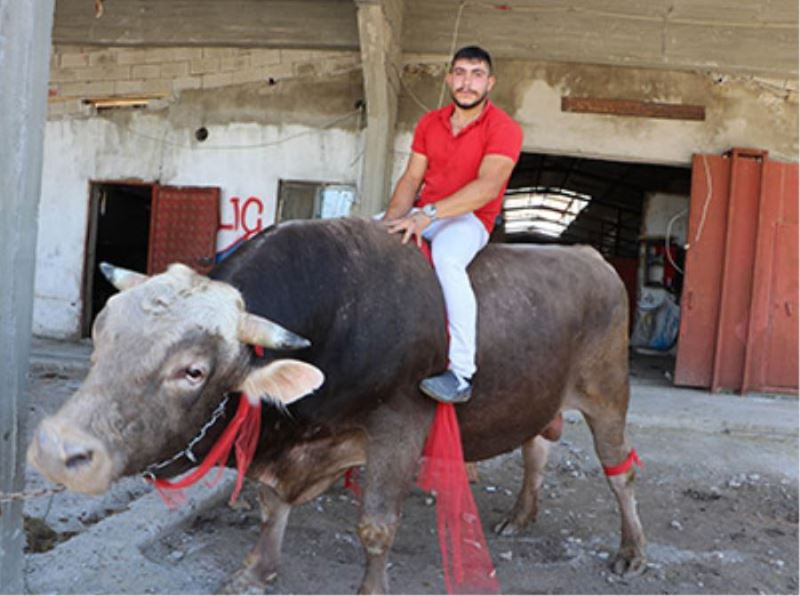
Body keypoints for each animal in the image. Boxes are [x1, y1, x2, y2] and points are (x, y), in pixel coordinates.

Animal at [28, 218, 648, 592]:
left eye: (194, 370)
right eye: (102, 331)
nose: (59, 450)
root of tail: (589, 257)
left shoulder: (400, 425)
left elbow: (376, 526)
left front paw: (371, 588)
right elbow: (272, 505)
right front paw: (255, 571)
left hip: (607, 389)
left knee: (619, 471)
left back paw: (631, 550)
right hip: (539, 394)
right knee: (536, 448)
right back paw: (520, 516)